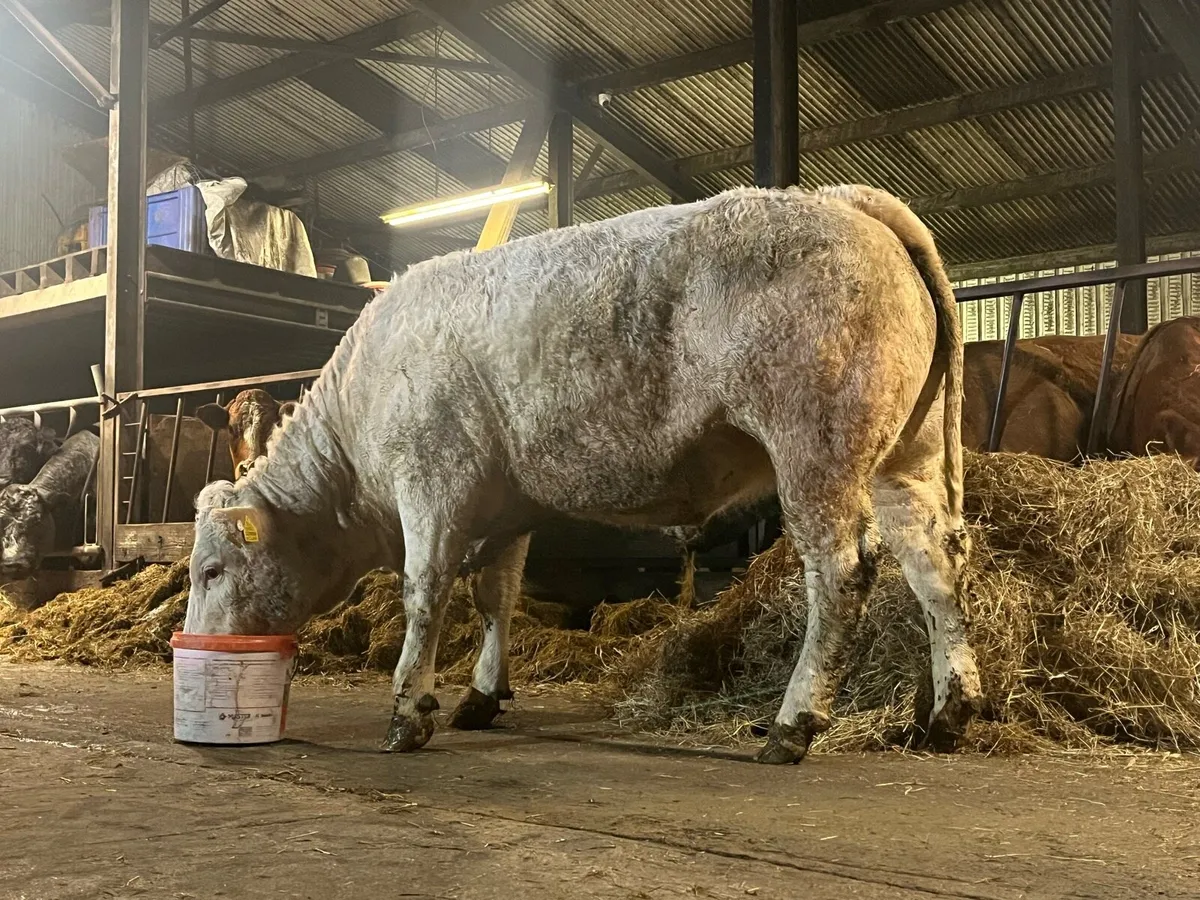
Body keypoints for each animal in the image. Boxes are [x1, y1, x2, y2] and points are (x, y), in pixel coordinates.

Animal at [183, 185, 982, 765]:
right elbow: (496, 599)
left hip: (814, 446)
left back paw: (794, 723)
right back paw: (949, 711)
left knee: (841, 573)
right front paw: (482, 695)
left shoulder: (433, 484)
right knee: (934, 561)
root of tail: (847, 200)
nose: (198, 643)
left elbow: (424, 595)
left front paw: (410, 709)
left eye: (212, 572)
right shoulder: (503, 506)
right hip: (905, 456)